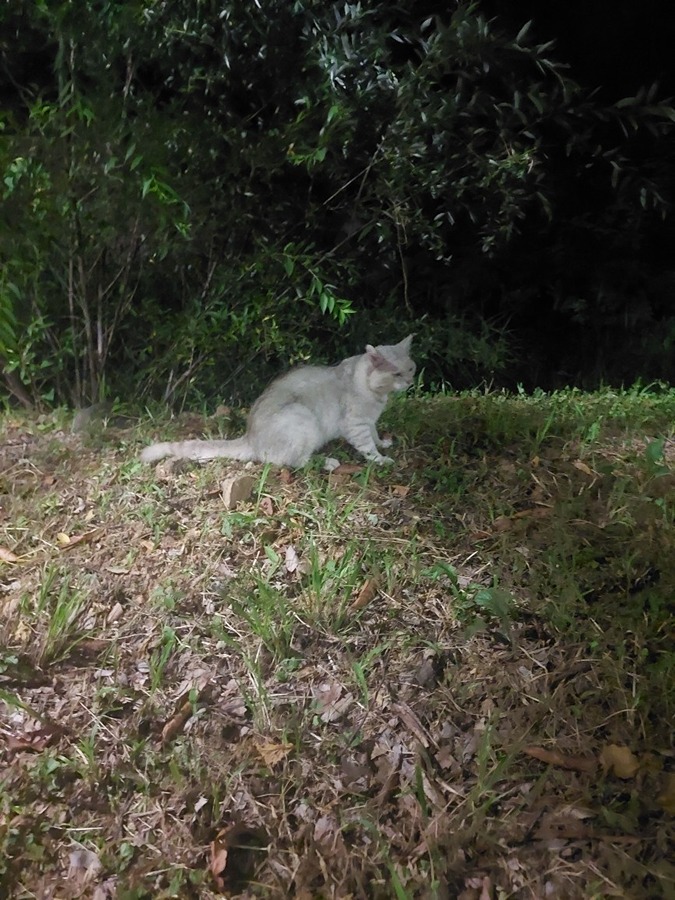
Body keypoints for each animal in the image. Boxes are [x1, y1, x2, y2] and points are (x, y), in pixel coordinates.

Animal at [141, 334, 414, 468]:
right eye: (396, 374)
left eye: (411, 368)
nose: (410, 382)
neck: (376, 394)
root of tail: (249, 437)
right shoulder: (356, 424)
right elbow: (368, 447)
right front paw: (381, 459)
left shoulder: (370, 421)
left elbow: (375, 435)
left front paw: (384, 443)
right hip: (302, 420)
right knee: (295, 462)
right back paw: (328, 462)